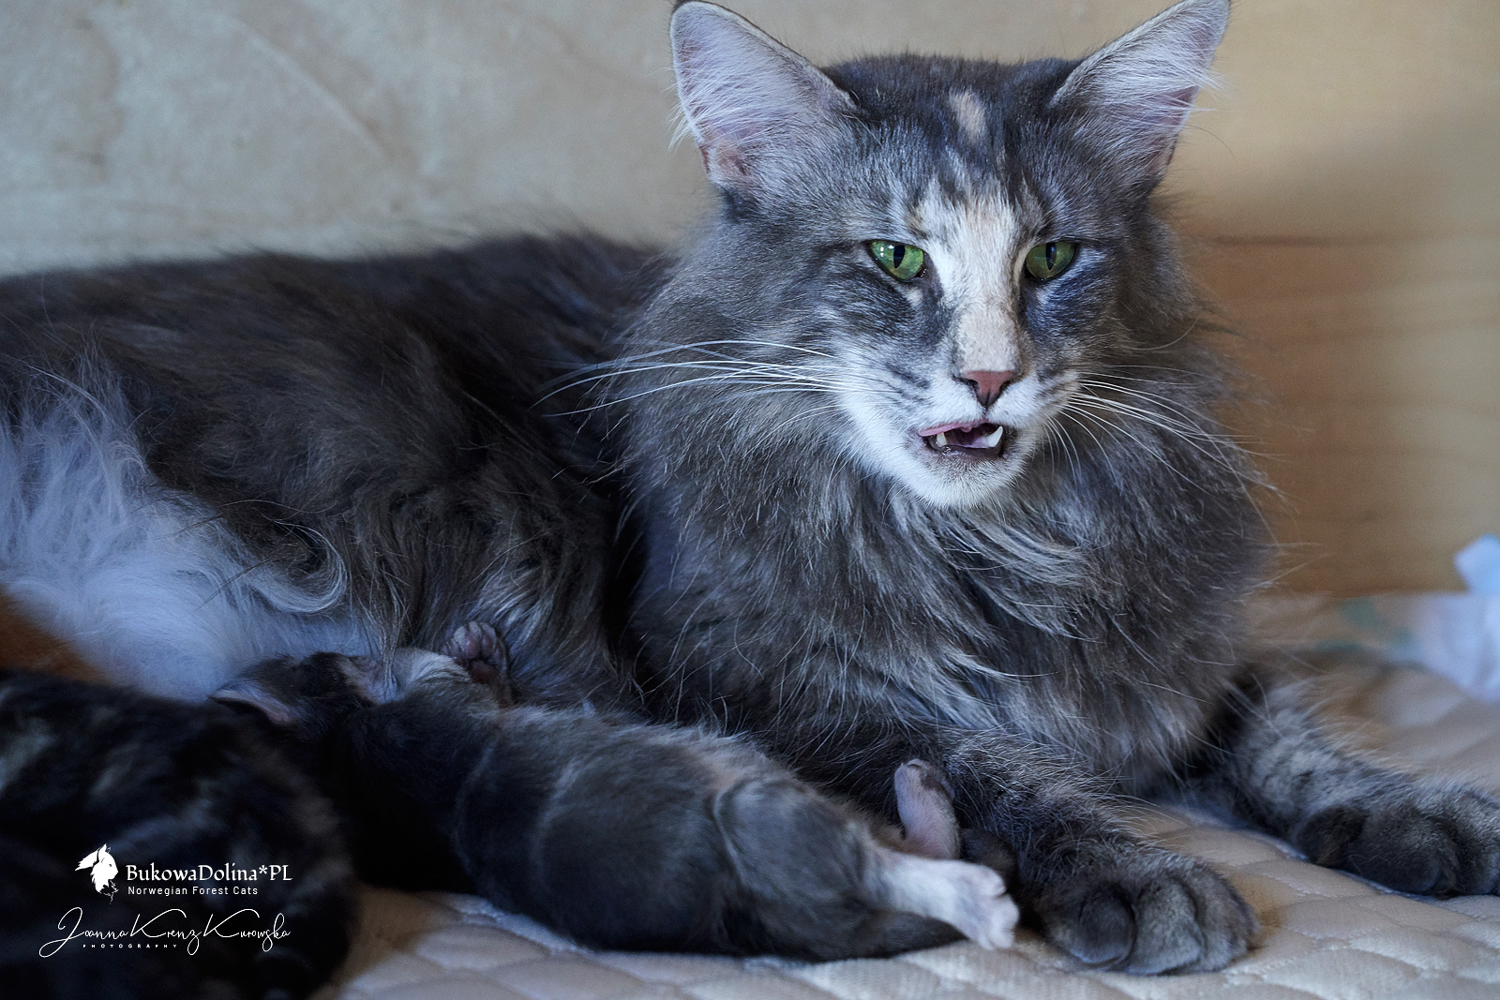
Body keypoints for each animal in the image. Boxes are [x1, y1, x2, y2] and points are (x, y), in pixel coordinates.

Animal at [214, 627, 1018, 959]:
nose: (346, 646)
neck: (345, 756)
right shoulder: (436, 701)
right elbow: (458, 678)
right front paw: (472, 647)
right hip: (767, 812)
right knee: (897, 864)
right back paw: (966, 882)